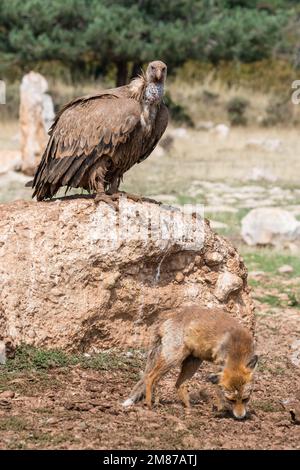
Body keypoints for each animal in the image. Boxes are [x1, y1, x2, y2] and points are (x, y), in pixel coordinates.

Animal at [122, 306, 258, 420]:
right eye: (231, 400)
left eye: (246, 399)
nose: (240, 417)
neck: (238, 348)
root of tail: (169, 315)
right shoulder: (219, 366)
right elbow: (218, 392)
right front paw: (221, 409)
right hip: (173, 358)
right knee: (150, 377)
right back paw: (149, 405)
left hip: (193, 362)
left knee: (179, 384)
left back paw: (189, 408)